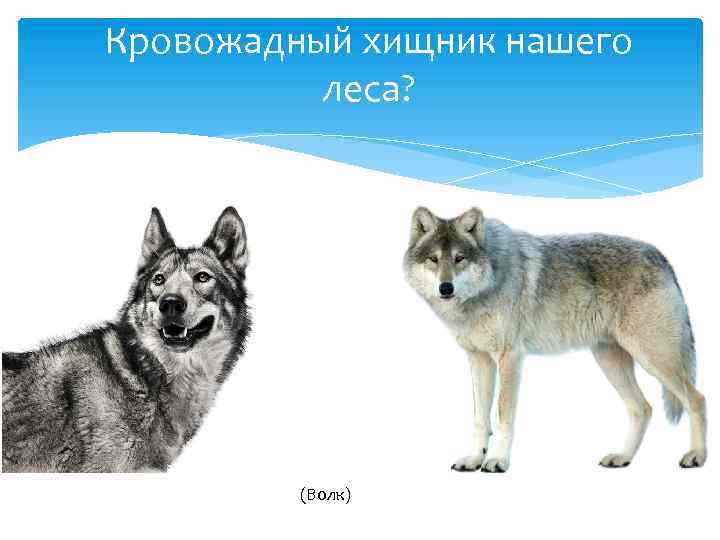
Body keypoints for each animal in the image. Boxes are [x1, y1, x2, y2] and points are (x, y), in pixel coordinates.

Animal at [404, 207, 706, 473]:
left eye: (459, 258)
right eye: (433, 259)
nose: (445, 288)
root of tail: (661, 256)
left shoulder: (510, 357)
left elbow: (503, 417)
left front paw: (498, 461)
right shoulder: (479, 360)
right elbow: (480, 418)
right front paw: (473, 459)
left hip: (652, 357)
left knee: (697, 399)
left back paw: (696, 456)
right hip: (610, 361)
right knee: (642, 408)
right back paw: (622, 457)